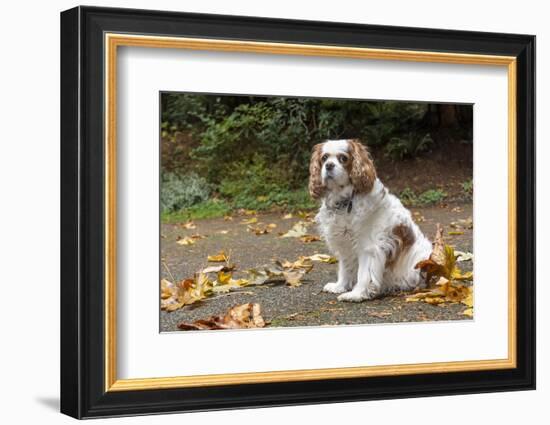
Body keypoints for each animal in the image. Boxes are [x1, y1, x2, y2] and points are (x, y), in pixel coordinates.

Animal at [308, 139, 434, 302]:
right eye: (324, 158)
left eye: (343, 158)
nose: (329, 165)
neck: (345, 201)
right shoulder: (345, 244)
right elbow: (345, 268)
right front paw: (340, 286)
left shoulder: (368, 247)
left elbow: (364, 274)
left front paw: (356, 294)